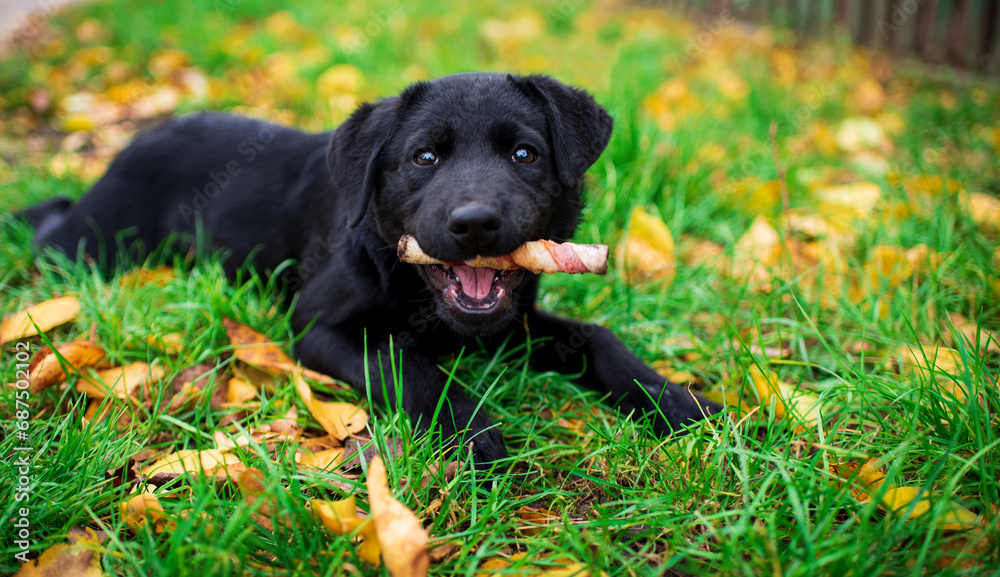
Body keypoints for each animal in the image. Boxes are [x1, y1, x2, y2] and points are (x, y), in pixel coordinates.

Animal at [23, 72, 720, 462]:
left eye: (525, 154)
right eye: (424, 158)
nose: (474, 223)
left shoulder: (514, 326)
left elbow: (597, 337)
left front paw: (678, 402)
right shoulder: (317, 327)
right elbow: (403, 362)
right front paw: (469, 430)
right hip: (87, 246)